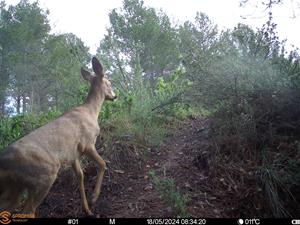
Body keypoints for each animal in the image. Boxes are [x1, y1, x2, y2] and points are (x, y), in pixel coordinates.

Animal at [0, 57, 116, 217]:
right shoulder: (87, 143)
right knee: (29, 210)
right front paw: (94, 197)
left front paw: (87, 209)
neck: (91, 112)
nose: (115, 96)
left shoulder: (73, 154)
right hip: (45, 174)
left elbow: (80, 176)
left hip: (12, 187)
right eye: (109, 82)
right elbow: (103, 164)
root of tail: (4, 161)